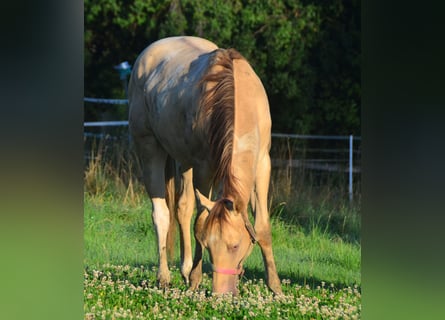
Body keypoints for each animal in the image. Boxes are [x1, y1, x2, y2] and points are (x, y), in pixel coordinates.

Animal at [127, 35, 280, 296]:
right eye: (208, 245)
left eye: (235, 245)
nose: (221, 294)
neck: (239, 100)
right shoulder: (204, 168)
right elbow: (200, 222)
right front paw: (195, 280)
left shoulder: (262, 164)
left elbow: (262, 226)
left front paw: (276, 287)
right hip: (149, 148)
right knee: (161, 214)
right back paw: (164, 277)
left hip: (183, 160)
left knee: (182, 208)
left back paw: (185, 269)